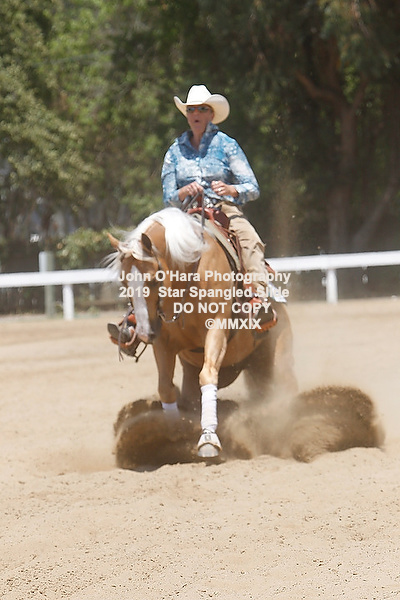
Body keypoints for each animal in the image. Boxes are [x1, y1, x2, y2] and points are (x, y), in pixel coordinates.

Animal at [108, 206, 297, 458]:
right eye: (124, 281)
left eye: (154, 279)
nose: (144, 332)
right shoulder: (163, 342)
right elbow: (165, 388)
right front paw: (172, 435)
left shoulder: (217, 329)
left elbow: (208, 376)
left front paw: (208, 439)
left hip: (278, 360)